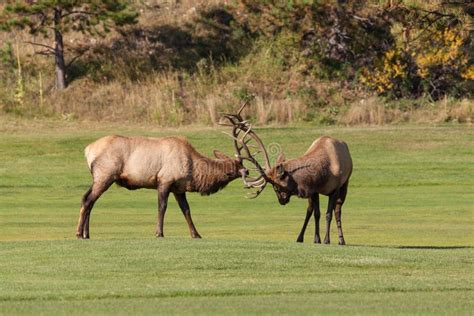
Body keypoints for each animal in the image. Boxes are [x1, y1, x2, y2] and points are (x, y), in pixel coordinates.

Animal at [74, 134, 248, 239]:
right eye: (237, 165)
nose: (247, 171)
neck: (193, 170)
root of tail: (87, 150)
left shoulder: (178, 188)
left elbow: (186, 210)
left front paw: (196, 234)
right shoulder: (164, 180)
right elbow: (162, 207)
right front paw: (159, 233)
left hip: (98, 178)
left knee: (87, 199)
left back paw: (87, 234)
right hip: (105, 176)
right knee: (88, 200)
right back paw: (79, 233)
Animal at [222, 106, 352, 244]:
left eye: (276, 186)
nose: (281, 201)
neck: (322, 176)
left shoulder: (334, 189)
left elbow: (329, 214)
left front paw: (327, 239)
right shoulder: (314, 190)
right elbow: (317, 213)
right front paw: (317, 239)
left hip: (345, 184)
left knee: (337, 211)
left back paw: (341, 240)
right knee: (310, 211)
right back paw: (300, 237)